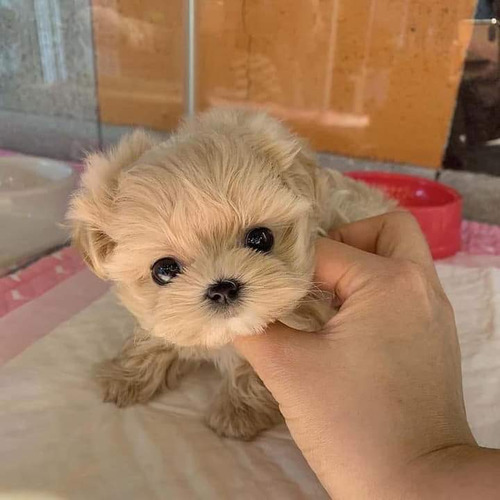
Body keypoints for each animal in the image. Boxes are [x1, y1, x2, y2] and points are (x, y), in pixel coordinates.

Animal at [67, 107, 394, 440]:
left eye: (260, 238)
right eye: (163, 270)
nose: (222, 289)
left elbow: (253, 371)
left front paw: (239, 412)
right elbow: (157, 334)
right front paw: (125, 376)